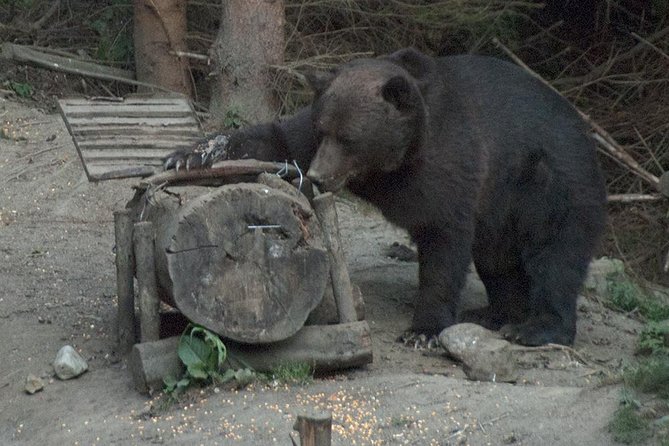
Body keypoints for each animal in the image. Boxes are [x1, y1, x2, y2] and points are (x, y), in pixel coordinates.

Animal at [165, 48, 607, 346]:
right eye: (325, 128)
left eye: (349, 137)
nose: (320, 175)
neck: (391, 163)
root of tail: (586, 134)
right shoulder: (309, 137)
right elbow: (275, 138)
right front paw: (188, 154)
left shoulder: (453, 164)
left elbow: (444, 240)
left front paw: (423, 329)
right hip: (504, 212)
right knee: (498, 260)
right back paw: (494, 312)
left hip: (548, 183)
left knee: (555, 255)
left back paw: (535, 326)